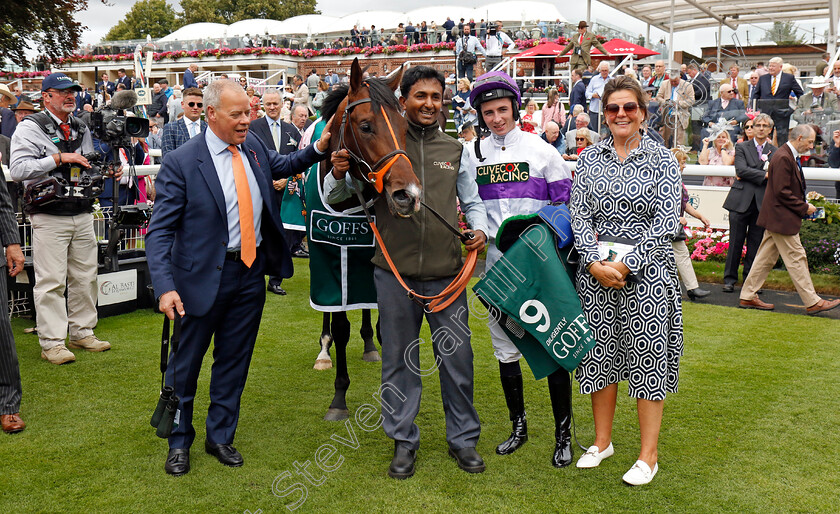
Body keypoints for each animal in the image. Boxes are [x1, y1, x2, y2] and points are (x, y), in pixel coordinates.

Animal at [312, 57, 420, 420]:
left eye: (404, 127)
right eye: (365, 126)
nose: (407, 194)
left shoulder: (372, 253)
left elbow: (381, 313)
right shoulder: (330, 255)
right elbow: (340, 323)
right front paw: (338, 398)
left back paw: (370, 343)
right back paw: (324, 350)